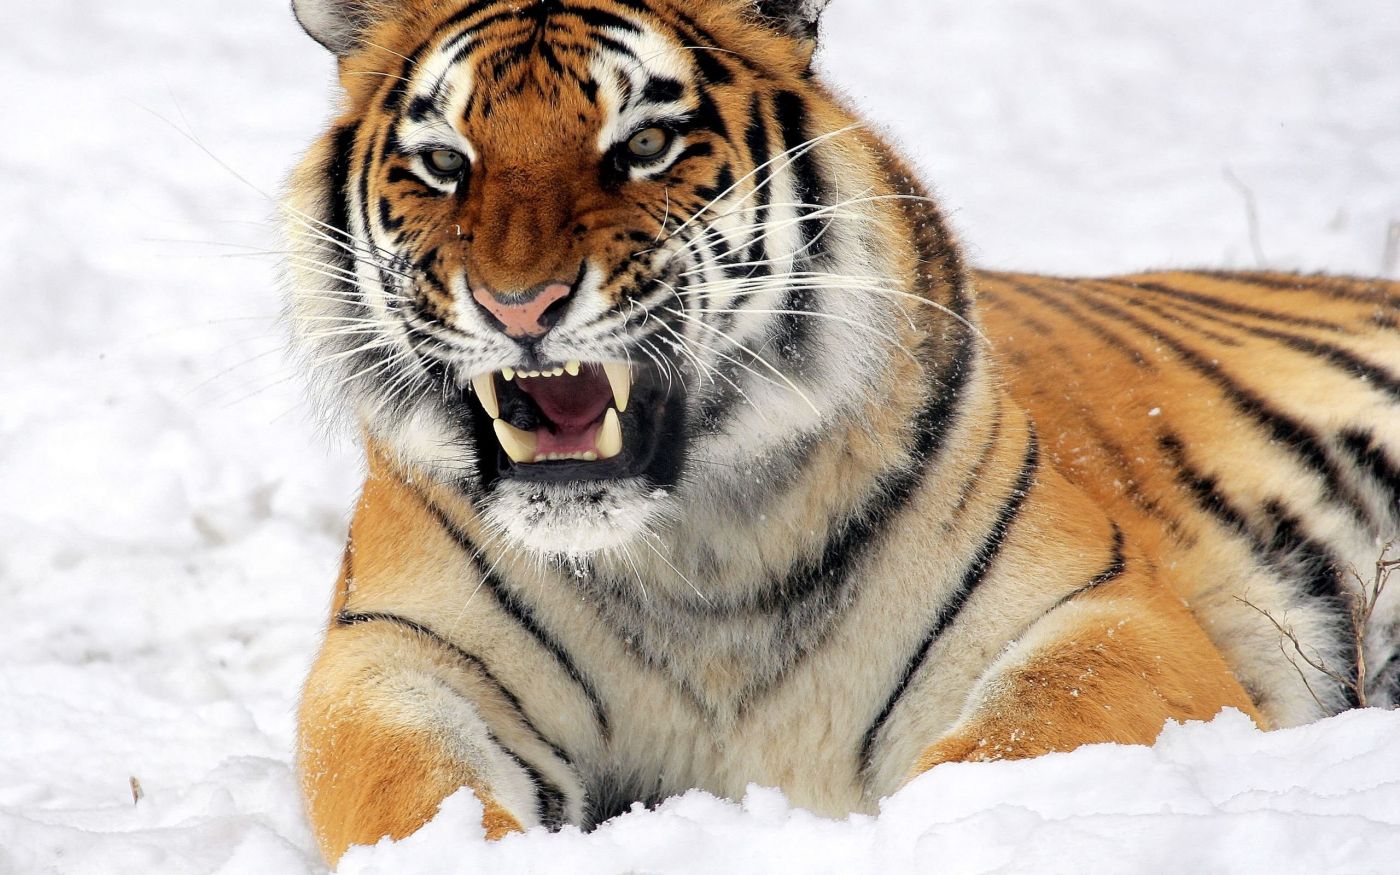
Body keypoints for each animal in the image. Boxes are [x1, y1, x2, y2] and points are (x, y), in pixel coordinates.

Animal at [281, 0, 1400, 864]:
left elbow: (1012, 742)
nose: (519, 305)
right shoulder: (393, 655)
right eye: (443, 162)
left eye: (642, 145)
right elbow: (412, 791)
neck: (692, 552)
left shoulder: (1104, 611)